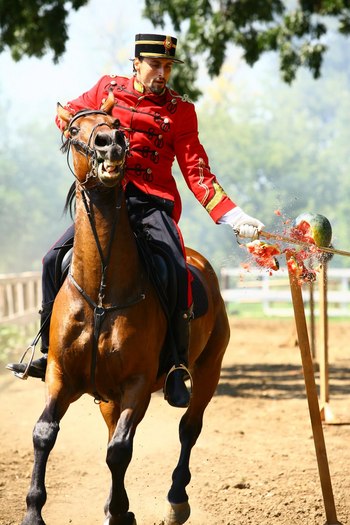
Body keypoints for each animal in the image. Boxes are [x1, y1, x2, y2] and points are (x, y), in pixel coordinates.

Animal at [20, 94, 231, 524]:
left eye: (115, 123)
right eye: (74, 129)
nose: (111, 143)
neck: (102, 292)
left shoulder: (137, 384)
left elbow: (119, 450)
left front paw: (121, 511)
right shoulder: (61, 376)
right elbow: (44, 433)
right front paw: (34, 511)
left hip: (207, 372)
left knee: (188, 428)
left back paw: (176, 500)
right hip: (107, 394)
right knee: (113, 428)